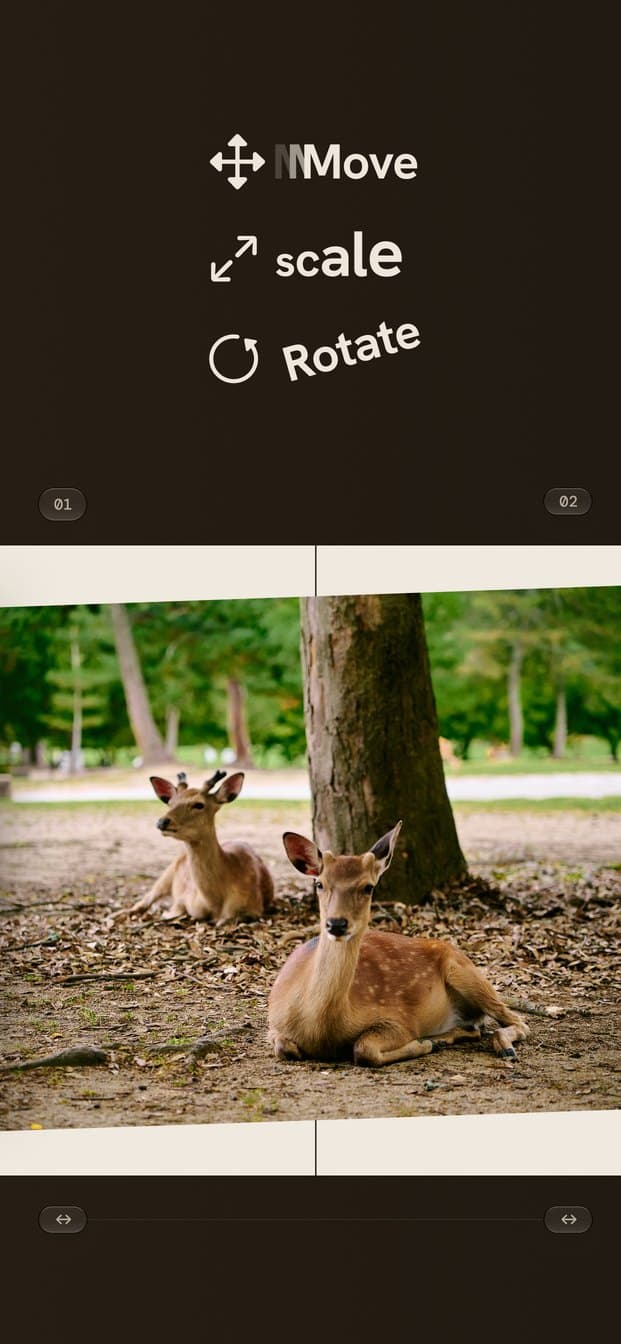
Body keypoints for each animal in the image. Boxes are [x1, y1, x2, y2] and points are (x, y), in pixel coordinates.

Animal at [127, 770, 274, 924]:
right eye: (170, 803)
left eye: (198, 804)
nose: (162, 822)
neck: (215, 902)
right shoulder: (184, 898)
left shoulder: (255, 908)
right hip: (167, 873)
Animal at [268, 821, 529, 1067]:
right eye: (319, 884)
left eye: (368, 887)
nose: (337, 924)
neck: (320, 1028)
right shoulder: (273, 1025)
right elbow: (283, 1047)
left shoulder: (400, 1019)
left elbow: (364, 1049)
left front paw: (422, 1044)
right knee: (478, 1028)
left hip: (467, 974)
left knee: (518, 1022)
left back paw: (500, 1047)